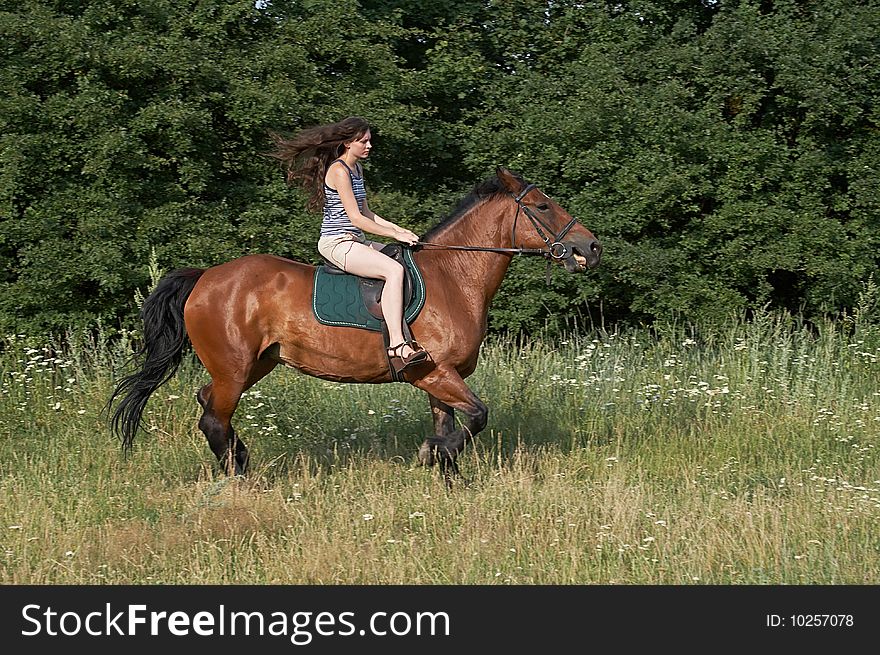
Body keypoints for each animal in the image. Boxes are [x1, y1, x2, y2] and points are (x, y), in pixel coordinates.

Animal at [108, 167, 600, 480]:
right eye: (543, 205)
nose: (591, 248)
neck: (454, 276)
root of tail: (205, 277)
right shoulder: (436, 372)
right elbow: (476, 417)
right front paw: (431, 454)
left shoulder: (441, 378)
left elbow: (452, 427)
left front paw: (449, 477)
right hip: (234, 368)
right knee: (213, 418)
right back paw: (239, 478)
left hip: (254, 365)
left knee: (209, 404)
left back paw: (241, 462)